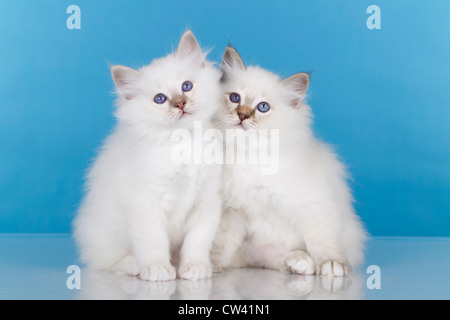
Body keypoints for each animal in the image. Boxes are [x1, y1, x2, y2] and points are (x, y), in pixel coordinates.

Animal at [73, 31, 222, 282]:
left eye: (187, 86)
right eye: (160, 99)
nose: (180, 103)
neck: (185, 142)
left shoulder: (206, 202)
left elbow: (197, 241)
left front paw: (195, 267)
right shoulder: (147, 202)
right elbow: (153, 241)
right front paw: (158, 268)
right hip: (105, 235)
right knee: (109, 262)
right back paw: (135, 265)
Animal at [211, 46, 366, 276]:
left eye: (263, 107)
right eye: (235, 98)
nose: (242, 115)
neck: (246, 155)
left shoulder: (314, 204)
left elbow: (323, 241)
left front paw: (332, 264)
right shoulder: (233, 209)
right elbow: (221, 244)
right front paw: (208, 266)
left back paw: (302, 262)